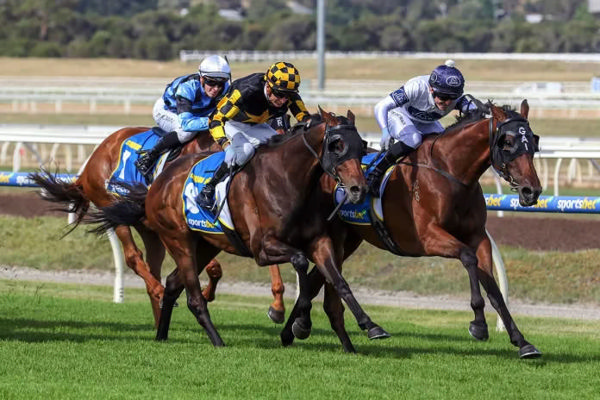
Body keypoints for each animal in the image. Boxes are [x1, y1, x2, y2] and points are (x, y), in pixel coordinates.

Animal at [27, 126, 221, 326]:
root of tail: (90, 164)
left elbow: (210, 265)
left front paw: (207, 292)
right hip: (112, 207)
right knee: (133, 256)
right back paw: (160, 292)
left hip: (148, 229)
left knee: (153, 268)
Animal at [88, 108, 390, 346]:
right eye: (336, 144)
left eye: (362, 145)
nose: (358, 188)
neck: (288, 179)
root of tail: (157, 183)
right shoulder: (262, 248)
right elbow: (301, 263)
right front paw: (302, 322)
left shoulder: (319, 242)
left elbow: (338, 280)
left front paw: (370, 325)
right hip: (179, 240)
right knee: (193, 297)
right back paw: (217, 341)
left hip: (206, 245)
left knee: (173, 284)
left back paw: (162, 336)